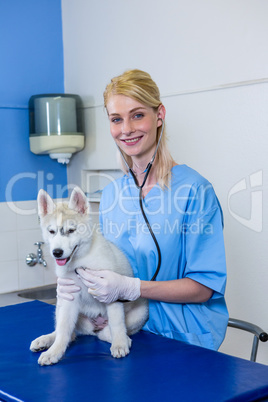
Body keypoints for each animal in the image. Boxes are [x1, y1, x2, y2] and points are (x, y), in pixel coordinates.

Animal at [30, 187, 151, 366]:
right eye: (51, 231)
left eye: (71, 230)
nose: (57, 252)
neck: (80, 262)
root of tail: (94, 327)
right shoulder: (69, 298)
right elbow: (63, 330)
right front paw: (54, 352)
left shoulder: (111, 294)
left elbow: (117, 324)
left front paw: (120, 343)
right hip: (62, 306)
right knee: (68, 332)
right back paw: (46, 340)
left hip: (139, 315)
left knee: (109, 331)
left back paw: (119, 338)